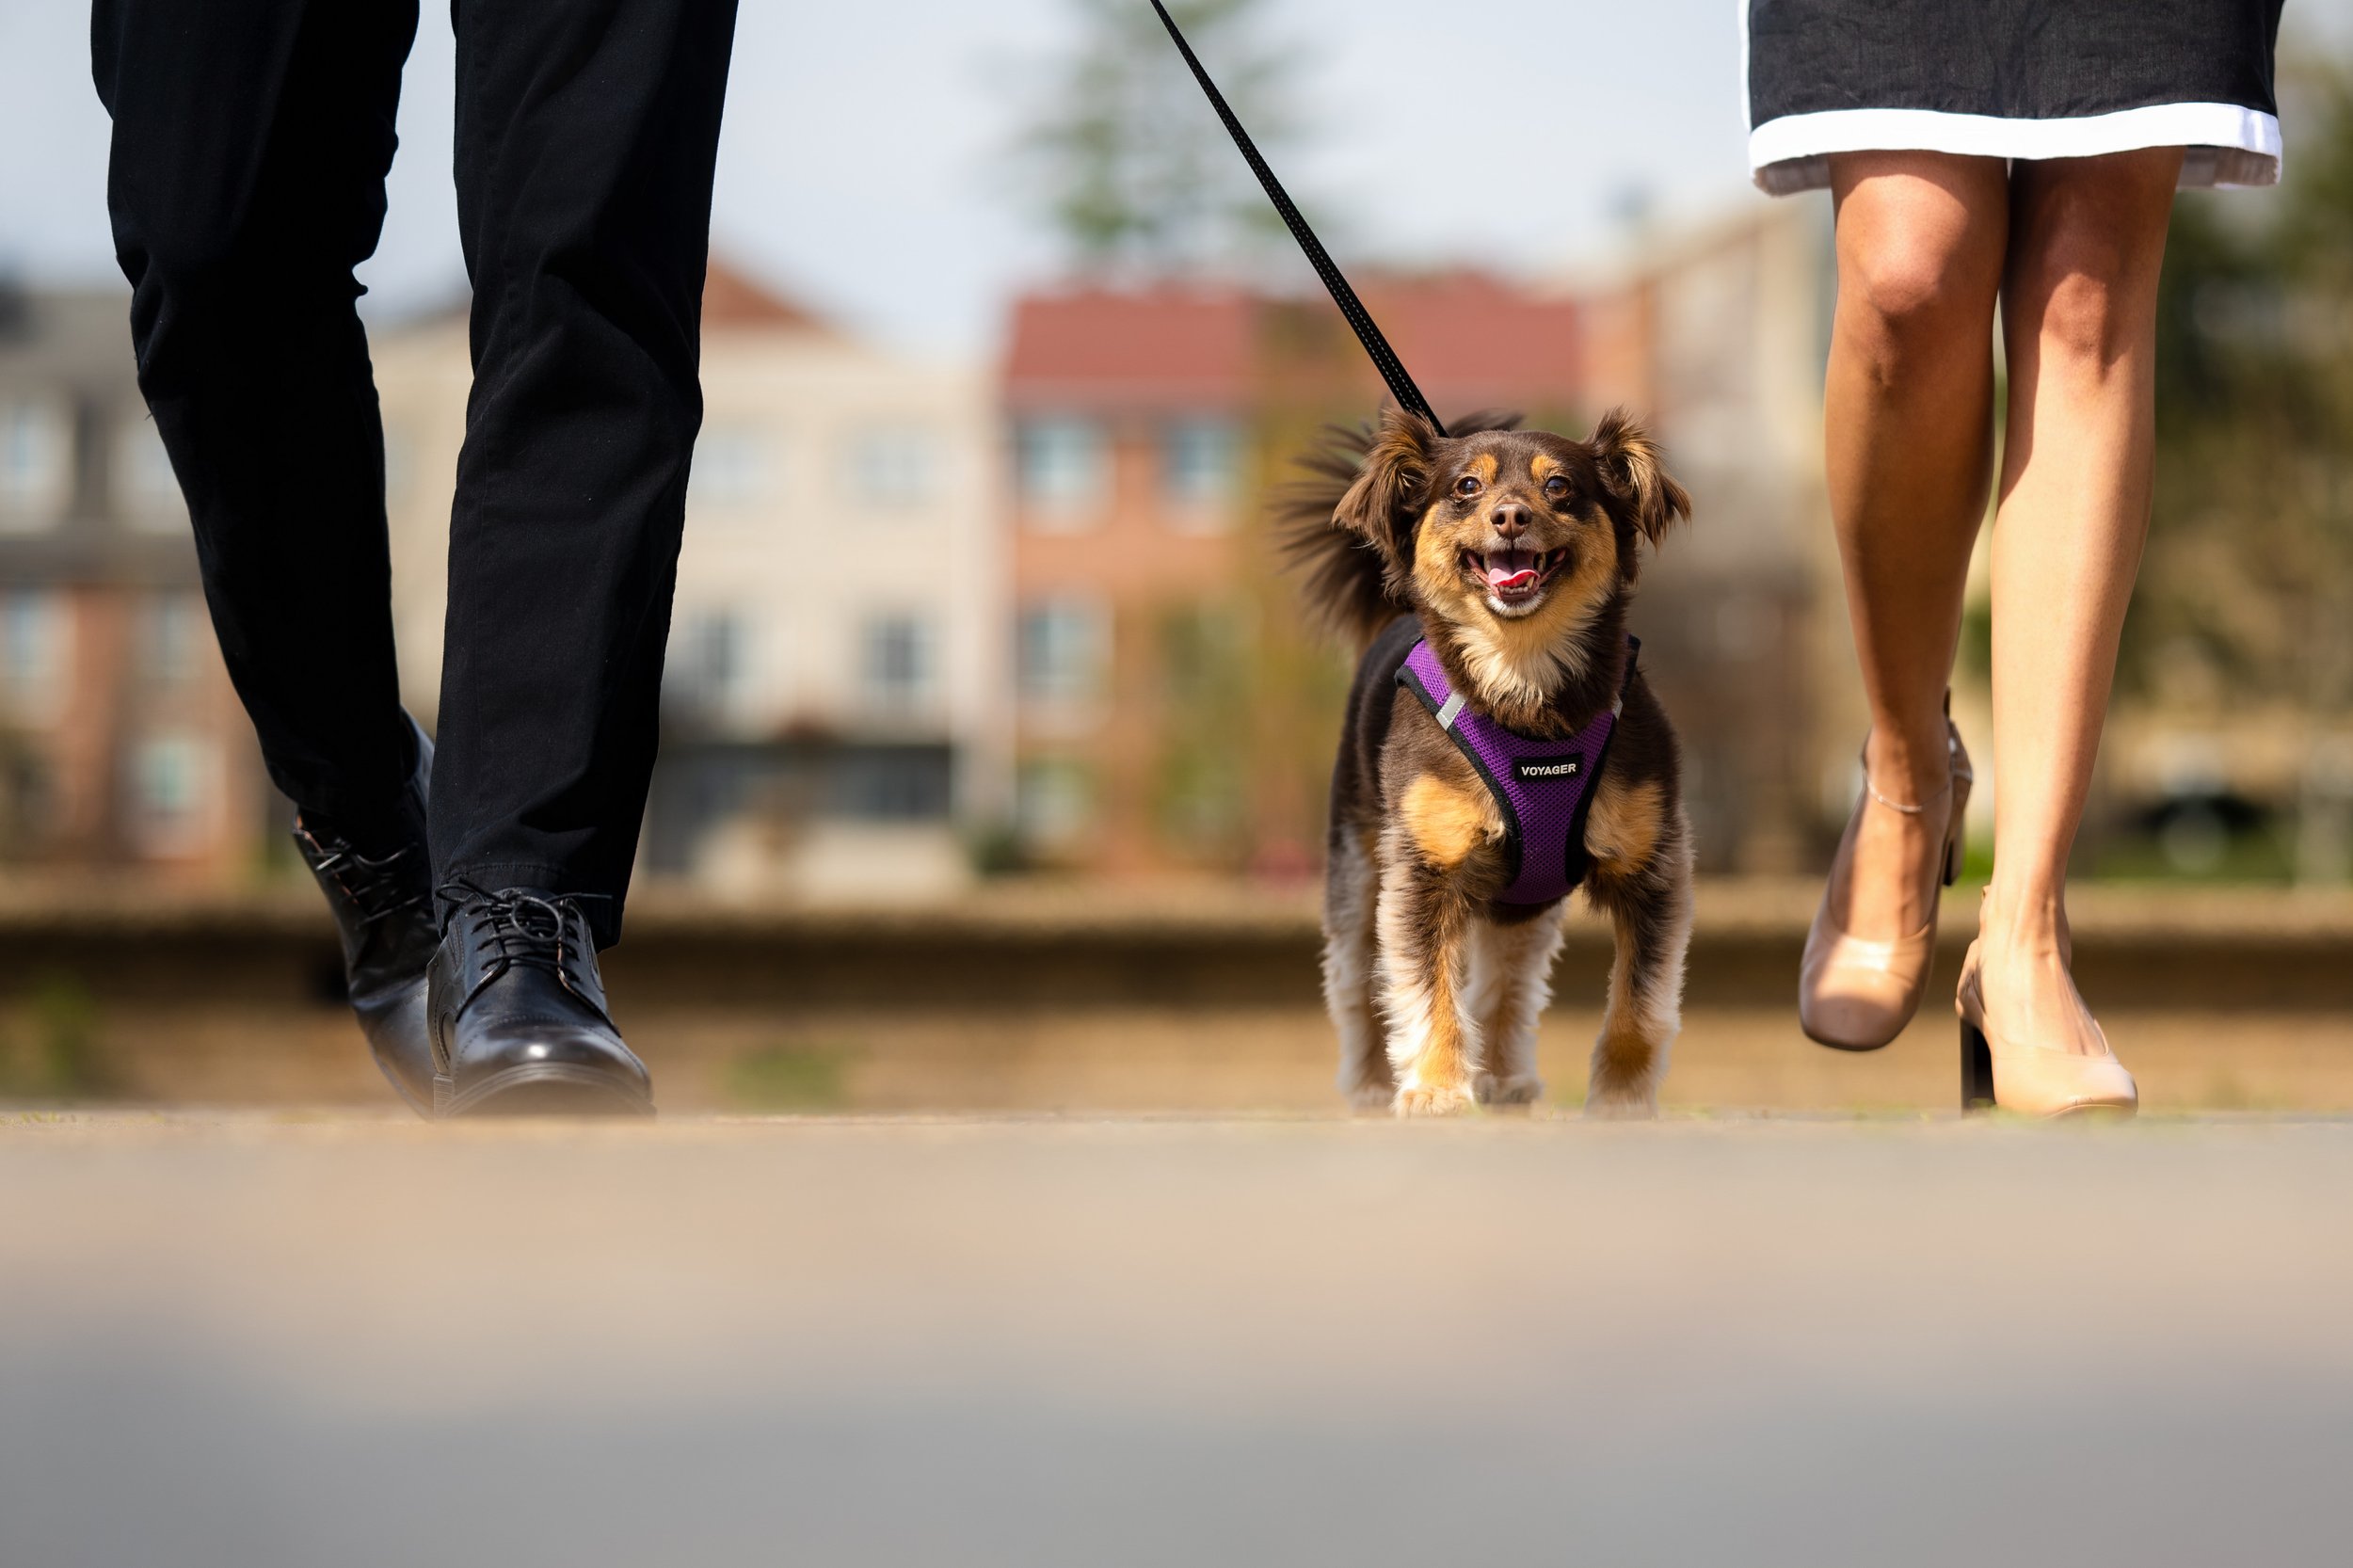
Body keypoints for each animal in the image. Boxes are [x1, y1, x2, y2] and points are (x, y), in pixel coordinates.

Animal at [1289, 402, 1694, 1111]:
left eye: (1559, 486)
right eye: (1466, 488)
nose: (1509, 516)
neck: (1522, 678)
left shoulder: (1653, 866)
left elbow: (1640, 1004)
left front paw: (1621, 1101)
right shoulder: (1423, 867)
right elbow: (1425, 993)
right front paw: (1434, 1089)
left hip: (1522, 904)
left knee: (1507, 984)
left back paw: (1504, 1077)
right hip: (1356, 863)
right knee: (1357, 982)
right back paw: (1369, 1086)